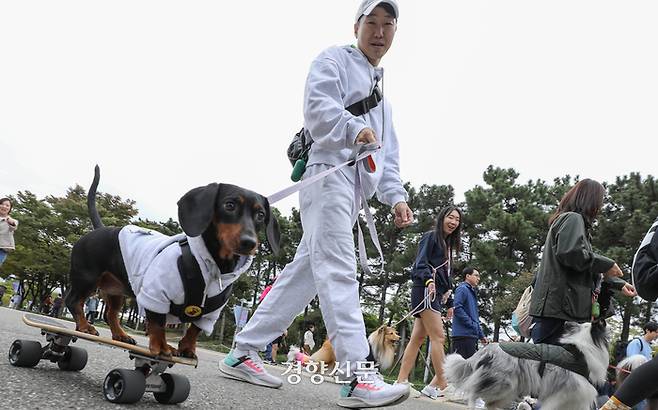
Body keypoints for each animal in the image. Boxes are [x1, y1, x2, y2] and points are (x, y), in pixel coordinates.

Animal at [444, 320, 608, 410]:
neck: (581, 350)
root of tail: (487, 349)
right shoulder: (567, 391)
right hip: (503, 385)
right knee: (474, 394)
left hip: (507, 390)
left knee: (488, 404)